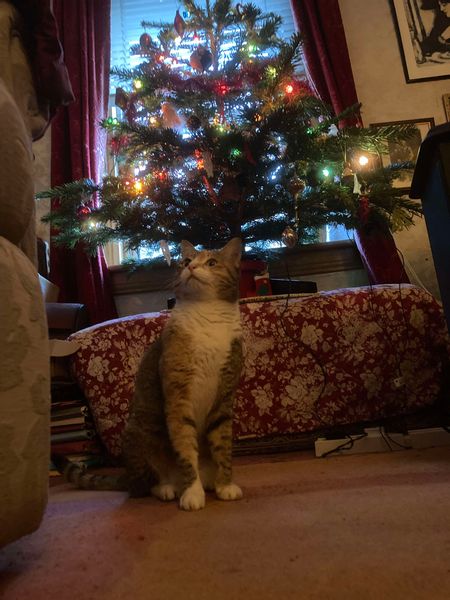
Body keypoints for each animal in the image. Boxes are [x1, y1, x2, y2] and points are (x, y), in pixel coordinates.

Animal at [56, 237, 244, 511]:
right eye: (186, 261)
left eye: (211, 262)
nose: (191, 267)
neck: (207, 316)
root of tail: (126, 474)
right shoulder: (178, 396)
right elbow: (185, 448)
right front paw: (192, 492)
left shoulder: (224, 395)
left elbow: (223, 447)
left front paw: (225, 485)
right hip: (140, 434)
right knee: (141, 486)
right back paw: (168, 488)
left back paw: (209, 482)